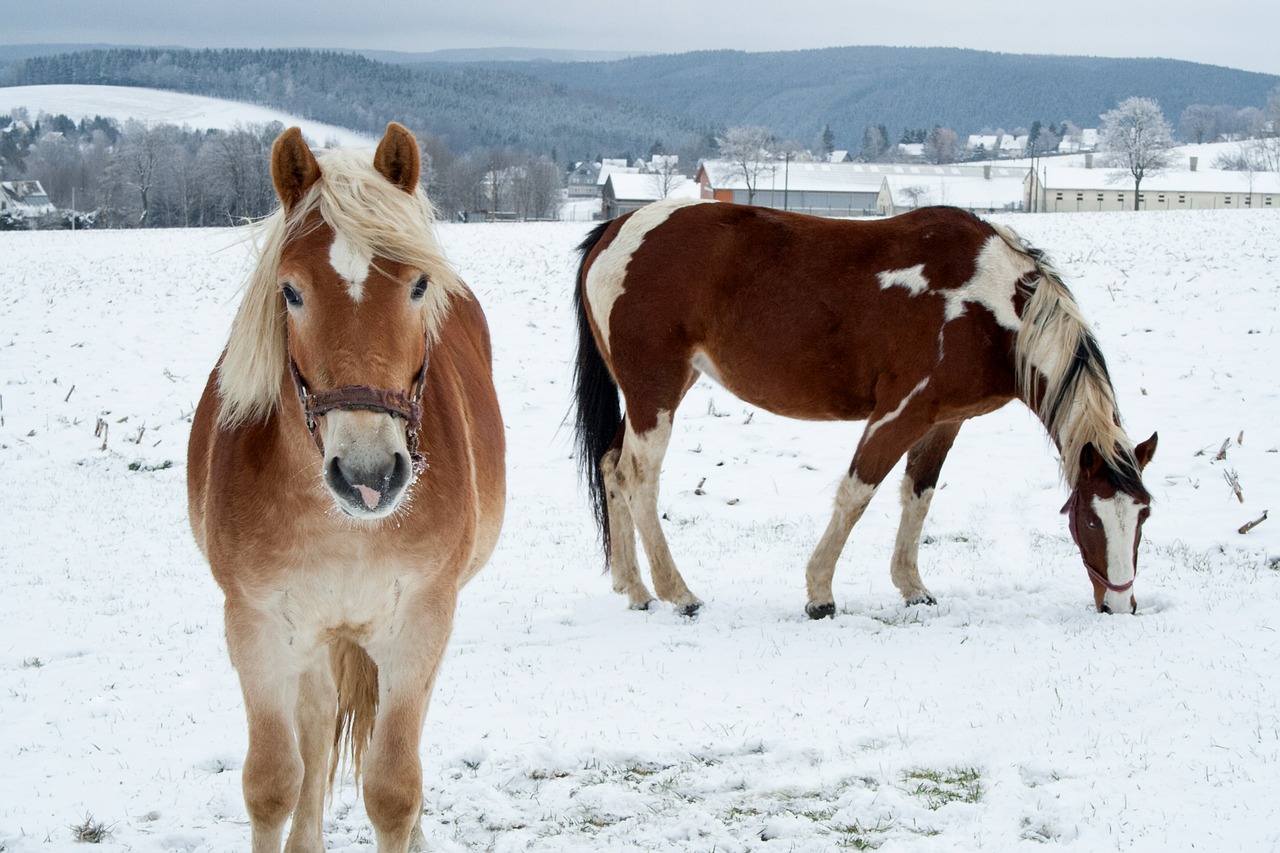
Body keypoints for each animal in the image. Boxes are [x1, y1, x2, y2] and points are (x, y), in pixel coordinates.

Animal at [186, 124, 504, 850]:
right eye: (291, 291)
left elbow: (394, 788)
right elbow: (274, 783)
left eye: (418, 285)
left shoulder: (419, 622)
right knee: (315, 735)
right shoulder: (258, 628)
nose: (368, 476)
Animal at [576, 203, 1157, 622]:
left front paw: (913, 587)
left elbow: (918, 495)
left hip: (652, 395)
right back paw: (679, 593)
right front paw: (820, 594)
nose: (1118, 605)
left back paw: (635, 588)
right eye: (1089, 517)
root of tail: (616, 230)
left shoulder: (945, 421)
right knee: (638, 478)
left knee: (611, 467)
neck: (984, 305)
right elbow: (857, 493)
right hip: (655, 394)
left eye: (1143, 515)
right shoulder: (899, 413)